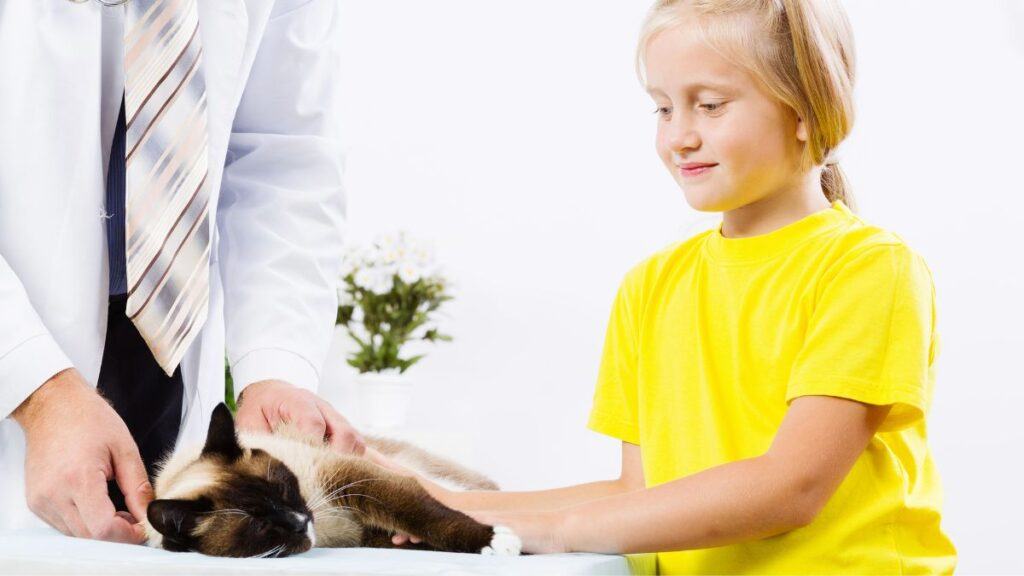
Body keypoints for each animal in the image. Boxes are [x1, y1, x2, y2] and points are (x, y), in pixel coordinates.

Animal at [144, 403, 520, 557]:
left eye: (284, 488)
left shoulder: (349, 478)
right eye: (259, 524)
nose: (301, 521)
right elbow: (418, 533)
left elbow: (424, 514)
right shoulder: (366, 535)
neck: (324, 528)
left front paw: (495, 541)